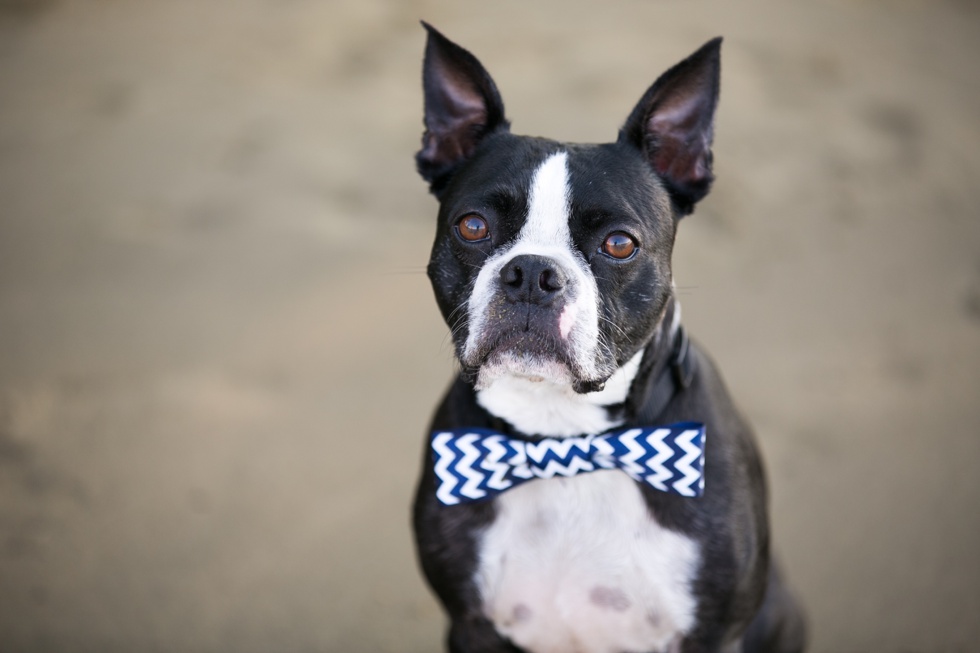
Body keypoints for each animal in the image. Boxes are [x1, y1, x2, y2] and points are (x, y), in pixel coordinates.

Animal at [412, 22, 804, 652]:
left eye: (620, 243)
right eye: (471, 227)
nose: (531, 273)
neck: (565, 443)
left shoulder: (715, 634)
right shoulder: (470, 624)